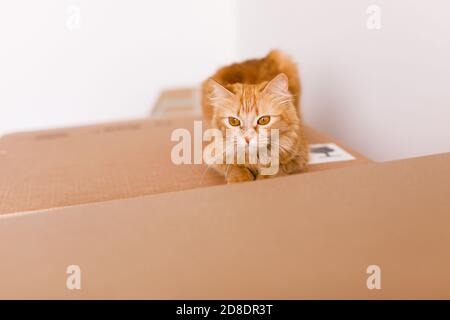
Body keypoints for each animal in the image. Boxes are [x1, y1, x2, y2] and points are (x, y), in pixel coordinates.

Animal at [202, 50, 308, 185]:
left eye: (263, 120)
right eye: (233, 121)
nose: (247, 138)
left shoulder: (299, 156)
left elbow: (276, 168)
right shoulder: (212, 153)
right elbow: (233, 166)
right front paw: (240, 179)